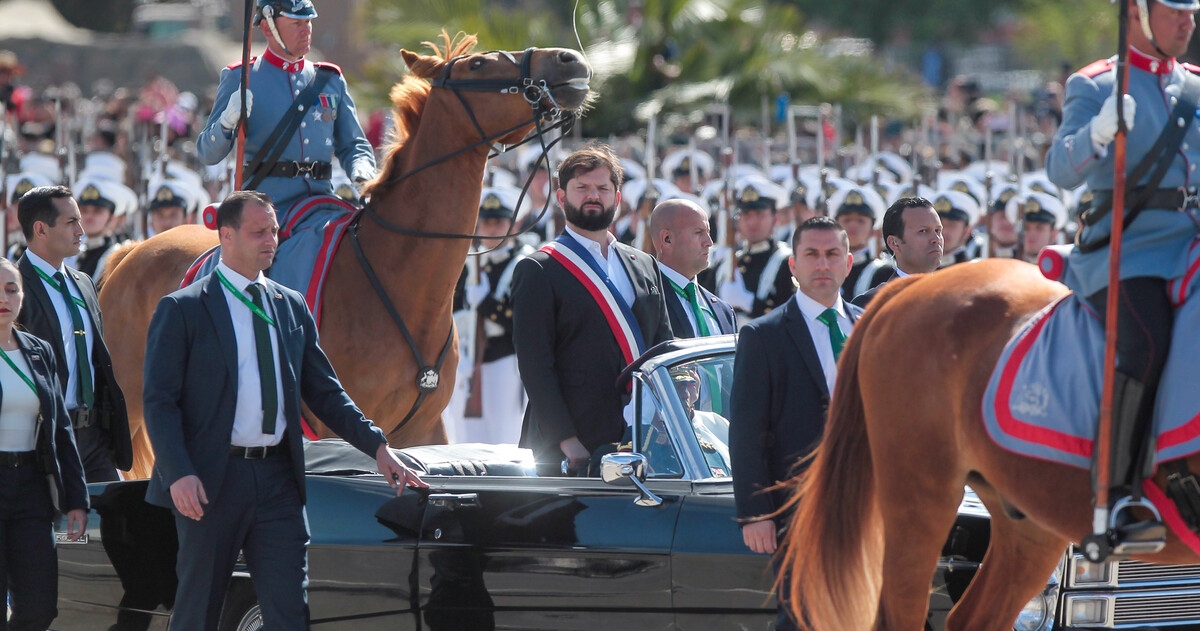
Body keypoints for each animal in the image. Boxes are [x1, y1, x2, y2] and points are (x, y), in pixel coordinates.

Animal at [100, 33, 592, 479]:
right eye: (476, 65)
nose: (569, 59)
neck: (399, 277)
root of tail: (133, 251)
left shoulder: (425, 430)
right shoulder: (333, 426)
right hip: (131, 407)